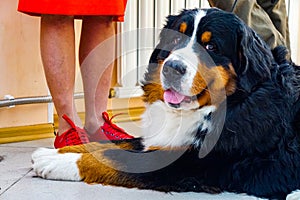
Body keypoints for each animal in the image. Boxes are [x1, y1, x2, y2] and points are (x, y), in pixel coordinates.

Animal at [31, 8, 300, 200]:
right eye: (175, 40)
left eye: (211, 46)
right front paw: (59, 151)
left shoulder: (185, 165)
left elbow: (113, 157)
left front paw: (57, 162)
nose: (173, 68)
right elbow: (112, 144)